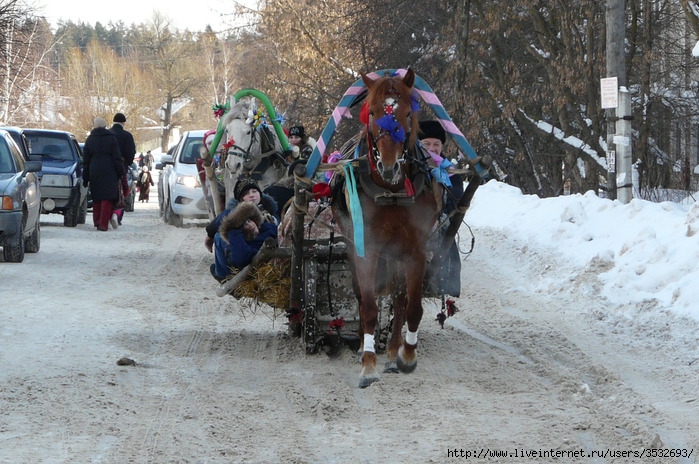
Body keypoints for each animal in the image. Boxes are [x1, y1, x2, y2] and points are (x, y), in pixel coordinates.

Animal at [332, 70, 442, 388]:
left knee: (399, 298)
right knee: (360, 294)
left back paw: (392, 353)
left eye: (407, 113)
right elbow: (368, 306)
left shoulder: (416, 250)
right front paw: (368, 364)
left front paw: (406, 355)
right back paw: (363, 346)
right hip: (354, 244)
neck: (391, 191)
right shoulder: (366, 247)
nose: (390, 167)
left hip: (396, 253)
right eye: (373, 114)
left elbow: (412, 306)